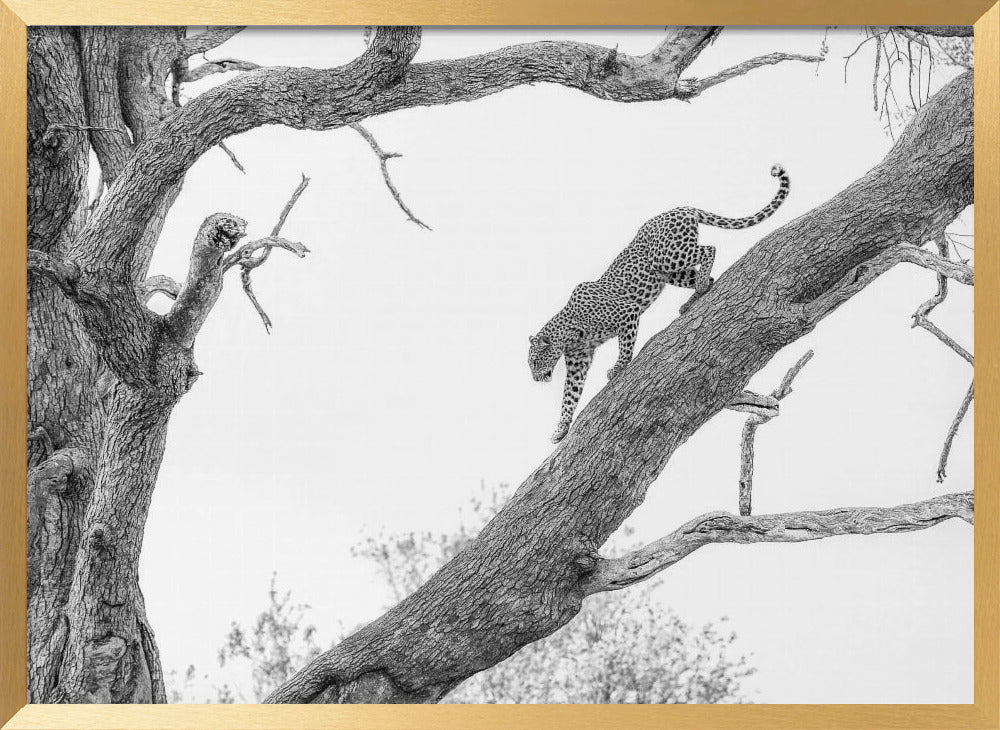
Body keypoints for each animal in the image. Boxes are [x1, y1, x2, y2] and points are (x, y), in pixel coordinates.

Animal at [529, 164, 790, 443]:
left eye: (534, 362)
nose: (535, 379)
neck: (568, 333)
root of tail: (681, 208)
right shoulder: (578, 360)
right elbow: (569, 395)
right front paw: (561, 428)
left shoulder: (627, 313)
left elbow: (625, 346)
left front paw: (618, 368)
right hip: (668, 272)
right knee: (706, 273)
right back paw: (694, 298)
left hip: (667, 256)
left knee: (709, 249)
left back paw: (700, 288)